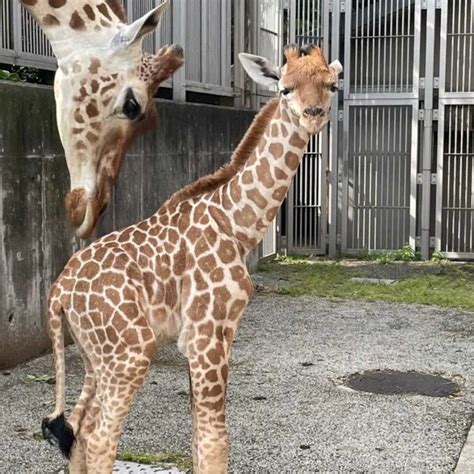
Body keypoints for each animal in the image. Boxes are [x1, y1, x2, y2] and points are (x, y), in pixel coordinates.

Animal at [42, 44, 342, 474]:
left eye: (332, 85)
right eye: (285, 88)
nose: (313, 114)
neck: (236, 223)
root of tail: (58, 292)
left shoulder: (213, 336)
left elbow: (200, 440)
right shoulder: (206, 335)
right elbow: (215, 442)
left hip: (93, 353)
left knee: (79, 429)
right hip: (129, 351)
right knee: (100, 436)